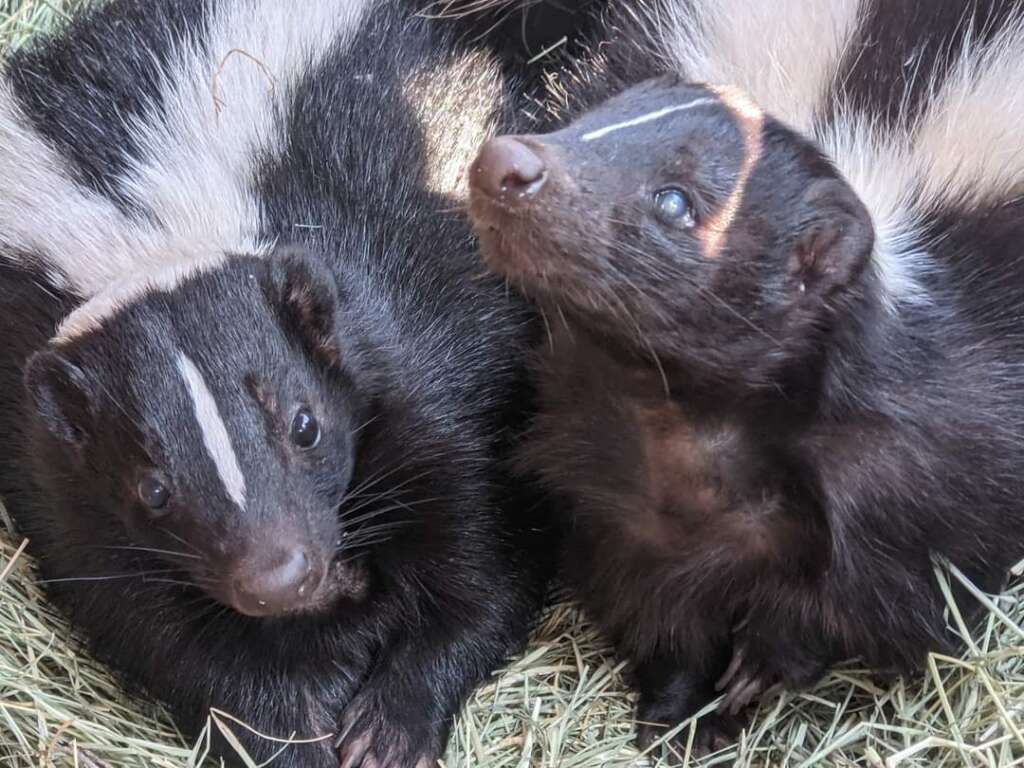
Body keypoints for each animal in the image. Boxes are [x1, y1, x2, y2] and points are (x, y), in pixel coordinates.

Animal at [0, 1, 573, 768]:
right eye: (152, 489)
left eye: (306, 425)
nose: (278, 577)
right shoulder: (56, 474)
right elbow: (169, 636)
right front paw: (293, 741)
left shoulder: (425, 341)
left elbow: (485, 554)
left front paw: (392, 726)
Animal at [468, 0, 1024, 761]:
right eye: (587, 122)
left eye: (676, 203)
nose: (506, 161)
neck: (688, 416)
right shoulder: (608, 468)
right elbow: (657, 600)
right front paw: (679, 712)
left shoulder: (924, 466)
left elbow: (858, 598)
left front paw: (755, 675)